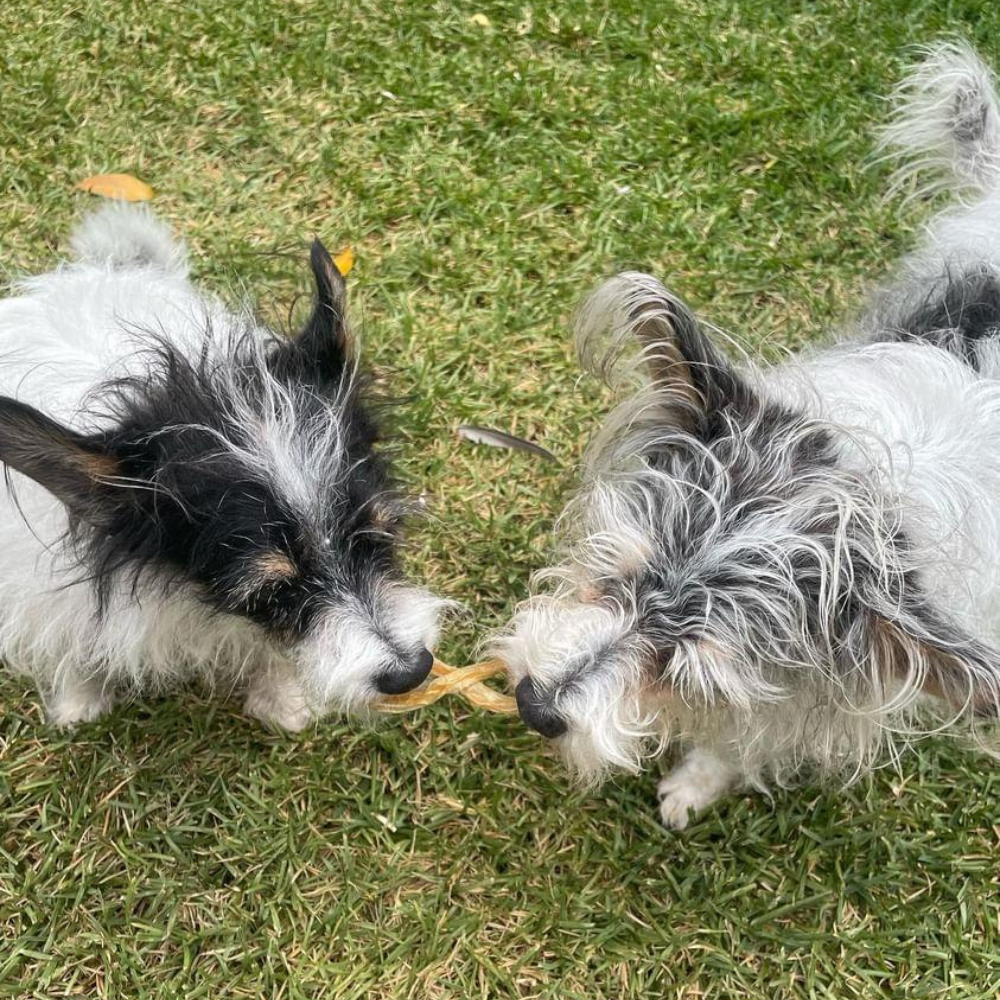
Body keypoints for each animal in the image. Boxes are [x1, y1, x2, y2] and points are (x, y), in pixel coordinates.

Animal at [0, 207, 442, 732]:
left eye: (381, 536)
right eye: (272, 592)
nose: (411, 672)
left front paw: (281, 698)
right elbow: (71, 641)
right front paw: (79, 698)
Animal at [500, 43, 1000, 828]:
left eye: (686, 668)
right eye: (611, 577)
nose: (534, 705)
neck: (877, 486)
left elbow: (749, 735)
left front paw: (697, 782)